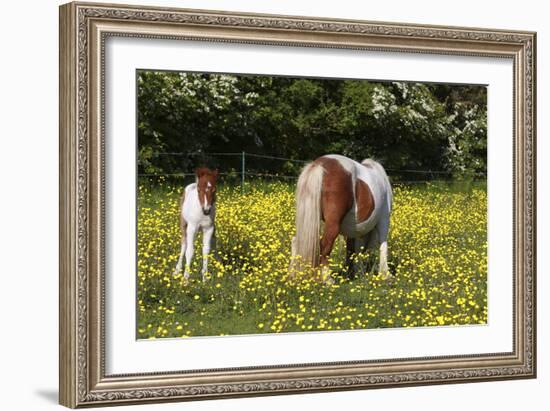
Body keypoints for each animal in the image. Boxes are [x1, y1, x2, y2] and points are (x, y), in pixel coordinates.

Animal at [292, 154, 394, 284]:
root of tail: (319, 164)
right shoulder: (384, 219)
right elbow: (383, 245)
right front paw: (385, 274)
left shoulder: (354, 229)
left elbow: (352, 249)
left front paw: (353, 272)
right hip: (333, 225)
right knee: (324, 245)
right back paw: (327, 279)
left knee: (297, 241)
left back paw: (293, 274)